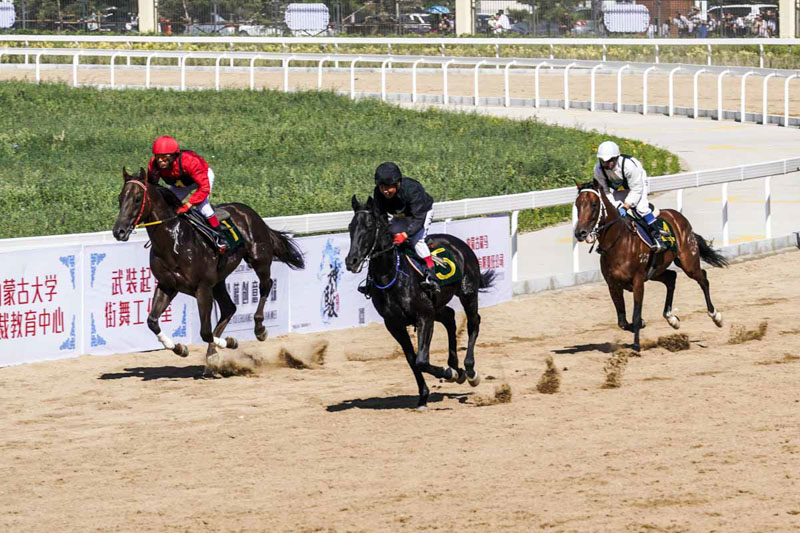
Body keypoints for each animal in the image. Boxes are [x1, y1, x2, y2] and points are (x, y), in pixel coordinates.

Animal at [109, 168, 304, 372]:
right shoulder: (167, 285)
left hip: (259, 259)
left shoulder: (202, 288)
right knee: (229, 308)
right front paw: (179, 347)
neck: (174, 241)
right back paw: (212, 355)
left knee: (266, 285)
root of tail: (249, 211)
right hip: (218, 281)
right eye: (120, 198)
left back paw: (259, 329)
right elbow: (152, 321)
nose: (119, 231)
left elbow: (205, 332)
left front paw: (230, 342)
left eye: (137, 199)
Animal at [344, 195, 494, 408]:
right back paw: (456, 367)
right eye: (351, 226)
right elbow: (411, 359)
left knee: (474, 322)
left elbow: (421, 361)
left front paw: (448, 373)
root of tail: (458, 244)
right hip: (437, 305)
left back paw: (469, 370)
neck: (392, 275)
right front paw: (424, 395)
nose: (352, 261)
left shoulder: (424, 317)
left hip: (468, 293)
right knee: (449, 317)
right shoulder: (394, 324)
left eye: (370, 226)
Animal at [572, 181, 728, 352]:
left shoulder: (638, 281)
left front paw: (636, 345)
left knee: (703, 279)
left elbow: (635, 315)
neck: (618, 242)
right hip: (656, 272)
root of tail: (677, 216)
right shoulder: (613, 285)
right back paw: (672, 318)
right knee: (671, 278)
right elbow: (622, 321)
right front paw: (641, 325)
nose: (580, 233)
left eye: (594, 204)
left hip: (688, 262)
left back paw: (716, 316)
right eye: (577, 204)